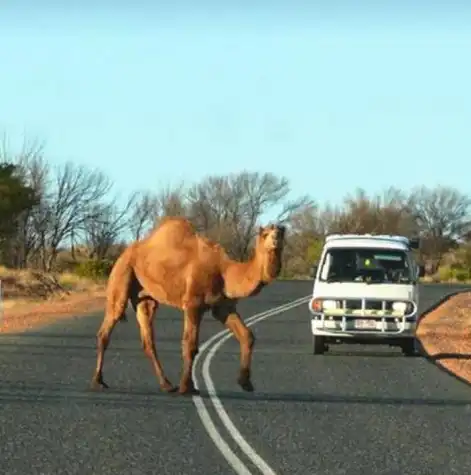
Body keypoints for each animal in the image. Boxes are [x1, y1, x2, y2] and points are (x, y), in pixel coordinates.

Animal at [90, 216, 286, 394]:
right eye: (265, 234)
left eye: (281, 232)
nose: (276, 239)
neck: (225, 271)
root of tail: (124, 252)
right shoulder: (193, 304)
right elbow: (190, 345)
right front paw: (187, 387)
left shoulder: (222, 307)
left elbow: (247, 336)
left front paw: (245, 382)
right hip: (122, 272)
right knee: (108, 325)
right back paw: (98, 381)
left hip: (144, 296)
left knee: (148, 337)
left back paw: (167, 385)